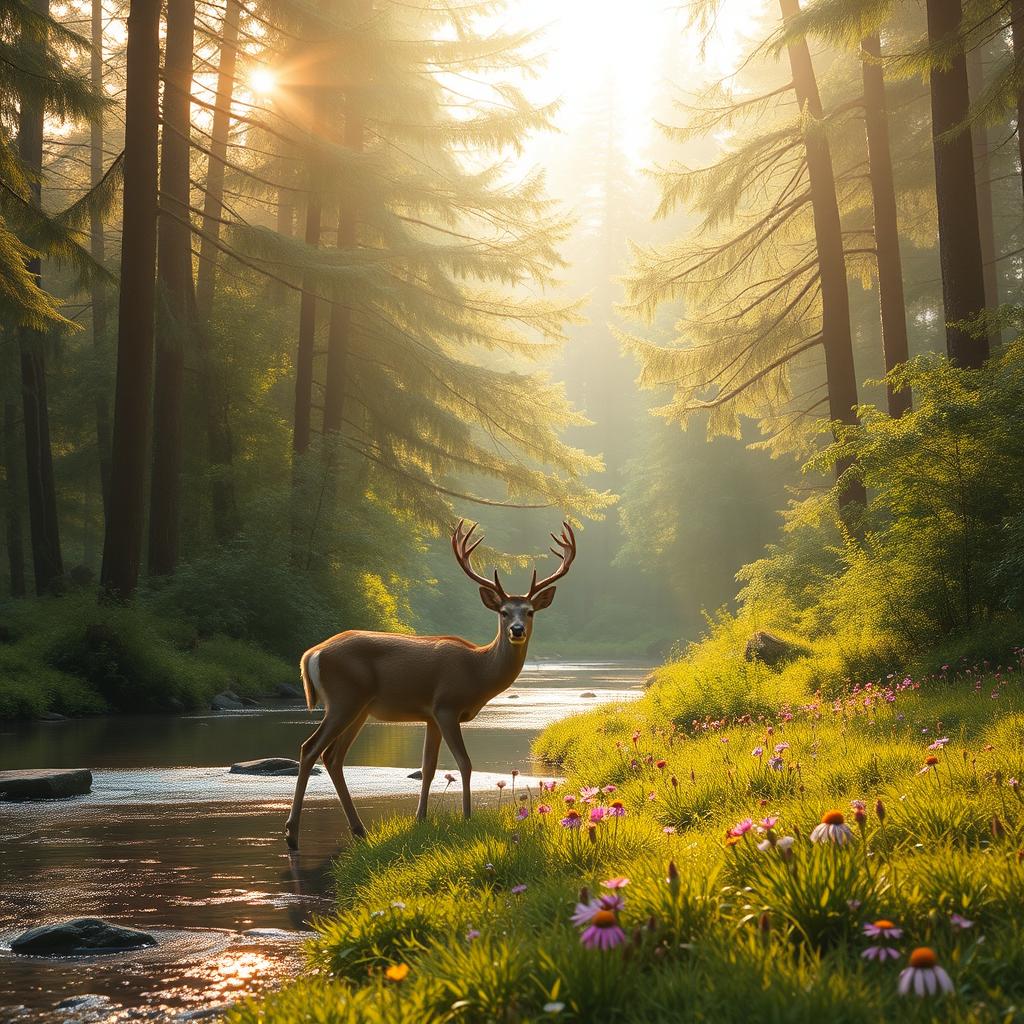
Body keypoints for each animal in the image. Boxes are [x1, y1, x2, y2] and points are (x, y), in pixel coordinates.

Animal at [286, 520, 577, 847]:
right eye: (503, 612)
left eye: (530, 611)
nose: (517, 630)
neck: (478, 671)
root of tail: (312, 654)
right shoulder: (446, 706)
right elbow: (464, 763)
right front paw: (467, 817)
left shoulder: (430, 716)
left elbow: (428, 767)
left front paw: (421, 818)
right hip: (343, 699)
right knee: (309, 749)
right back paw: (292, 832)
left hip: (359, 709)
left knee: (333, 756)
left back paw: (359, 829)